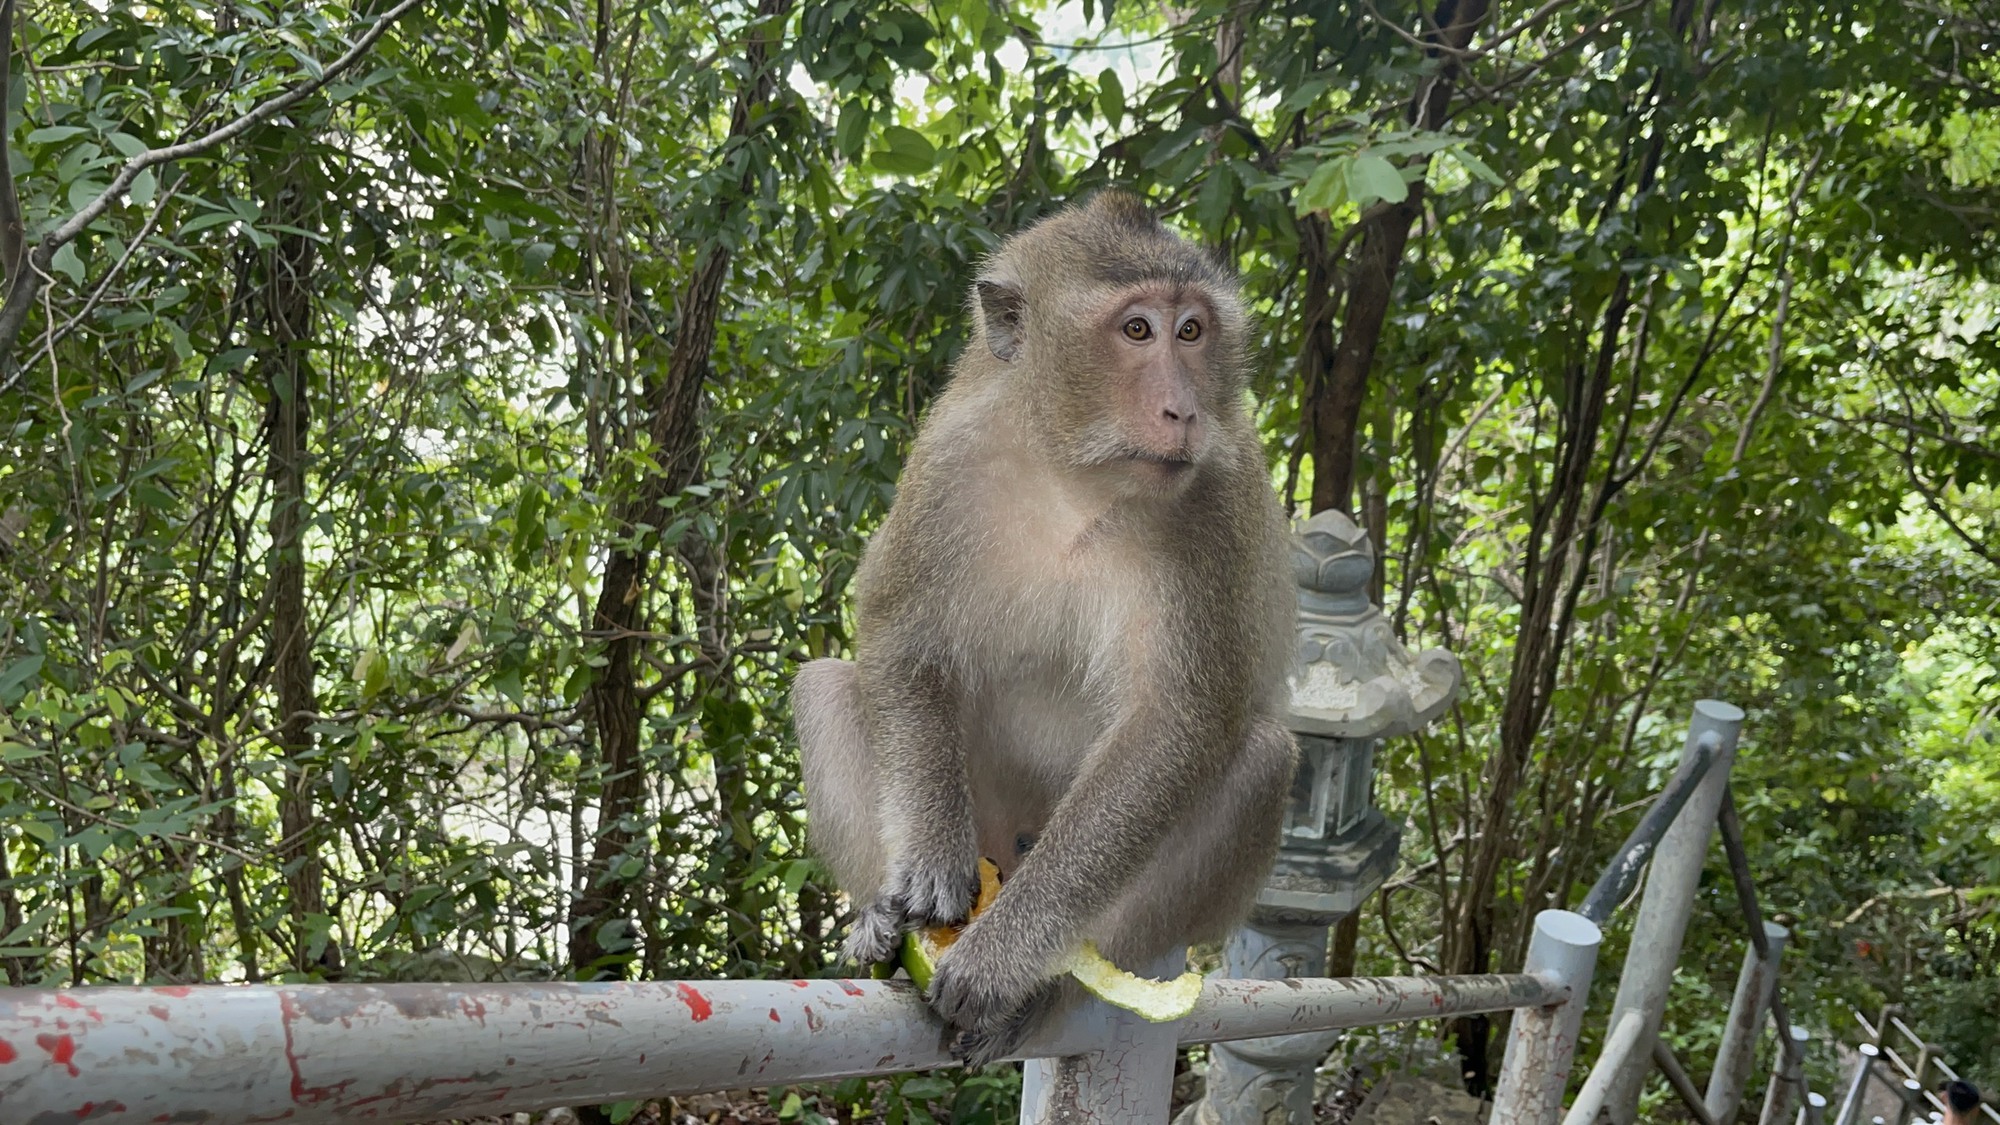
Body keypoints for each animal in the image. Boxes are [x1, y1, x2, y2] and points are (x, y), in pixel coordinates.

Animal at [788, 190, 1288, 1056]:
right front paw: (929, 862)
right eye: (1137, 330)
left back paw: (1047, 986)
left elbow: (1175, 725)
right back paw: (881, 921)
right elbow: (896, 625)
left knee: (1261, 756)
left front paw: (1001, 960)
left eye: (1193, 331)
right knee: (824, 685)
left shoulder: (1215, 503)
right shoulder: (947, 459)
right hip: (987, 814)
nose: (1184, 408)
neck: (1075, 475)